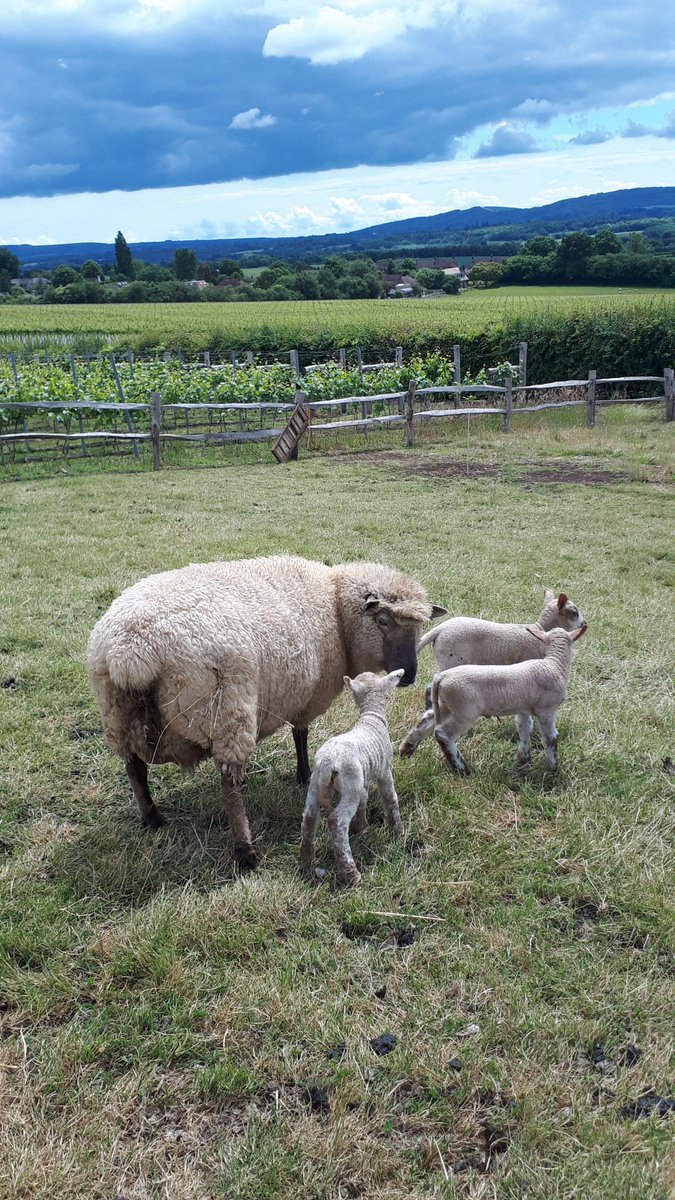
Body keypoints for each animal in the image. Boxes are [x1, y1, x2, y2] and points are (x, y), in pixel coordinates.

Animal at [299, 669, 404, 886]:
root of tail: (328, 763)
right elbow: (391, 799)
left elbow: (364, 801)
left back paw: (306, 858)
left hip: (316, 784)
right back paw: (351, 874)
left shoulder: (362, 780)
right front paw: (398, 831)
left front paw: (361, 827)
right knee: (336, 822)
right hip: (349, 788)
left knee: (309, 817)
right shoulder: (384, 771)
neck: (372, 718)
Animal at [400, 589, 584, 757]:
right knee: (431, 688)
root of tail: (439, 629)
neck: (540, 631)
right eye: (574, 612)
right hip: (452, 660)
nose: (584, 623)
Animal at [423, 623, 587, 776]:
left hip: (446, 706)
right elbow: (551, 738)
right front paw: (552, 769)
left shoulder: (523, 708)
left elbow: (524, 728)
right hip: (464, 710)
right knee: (444, 734)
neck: (554, 665)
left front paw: (523, 760)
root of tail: (441, 678)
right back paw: (462, 768)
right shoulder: (547, 709)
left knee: (427, 722)